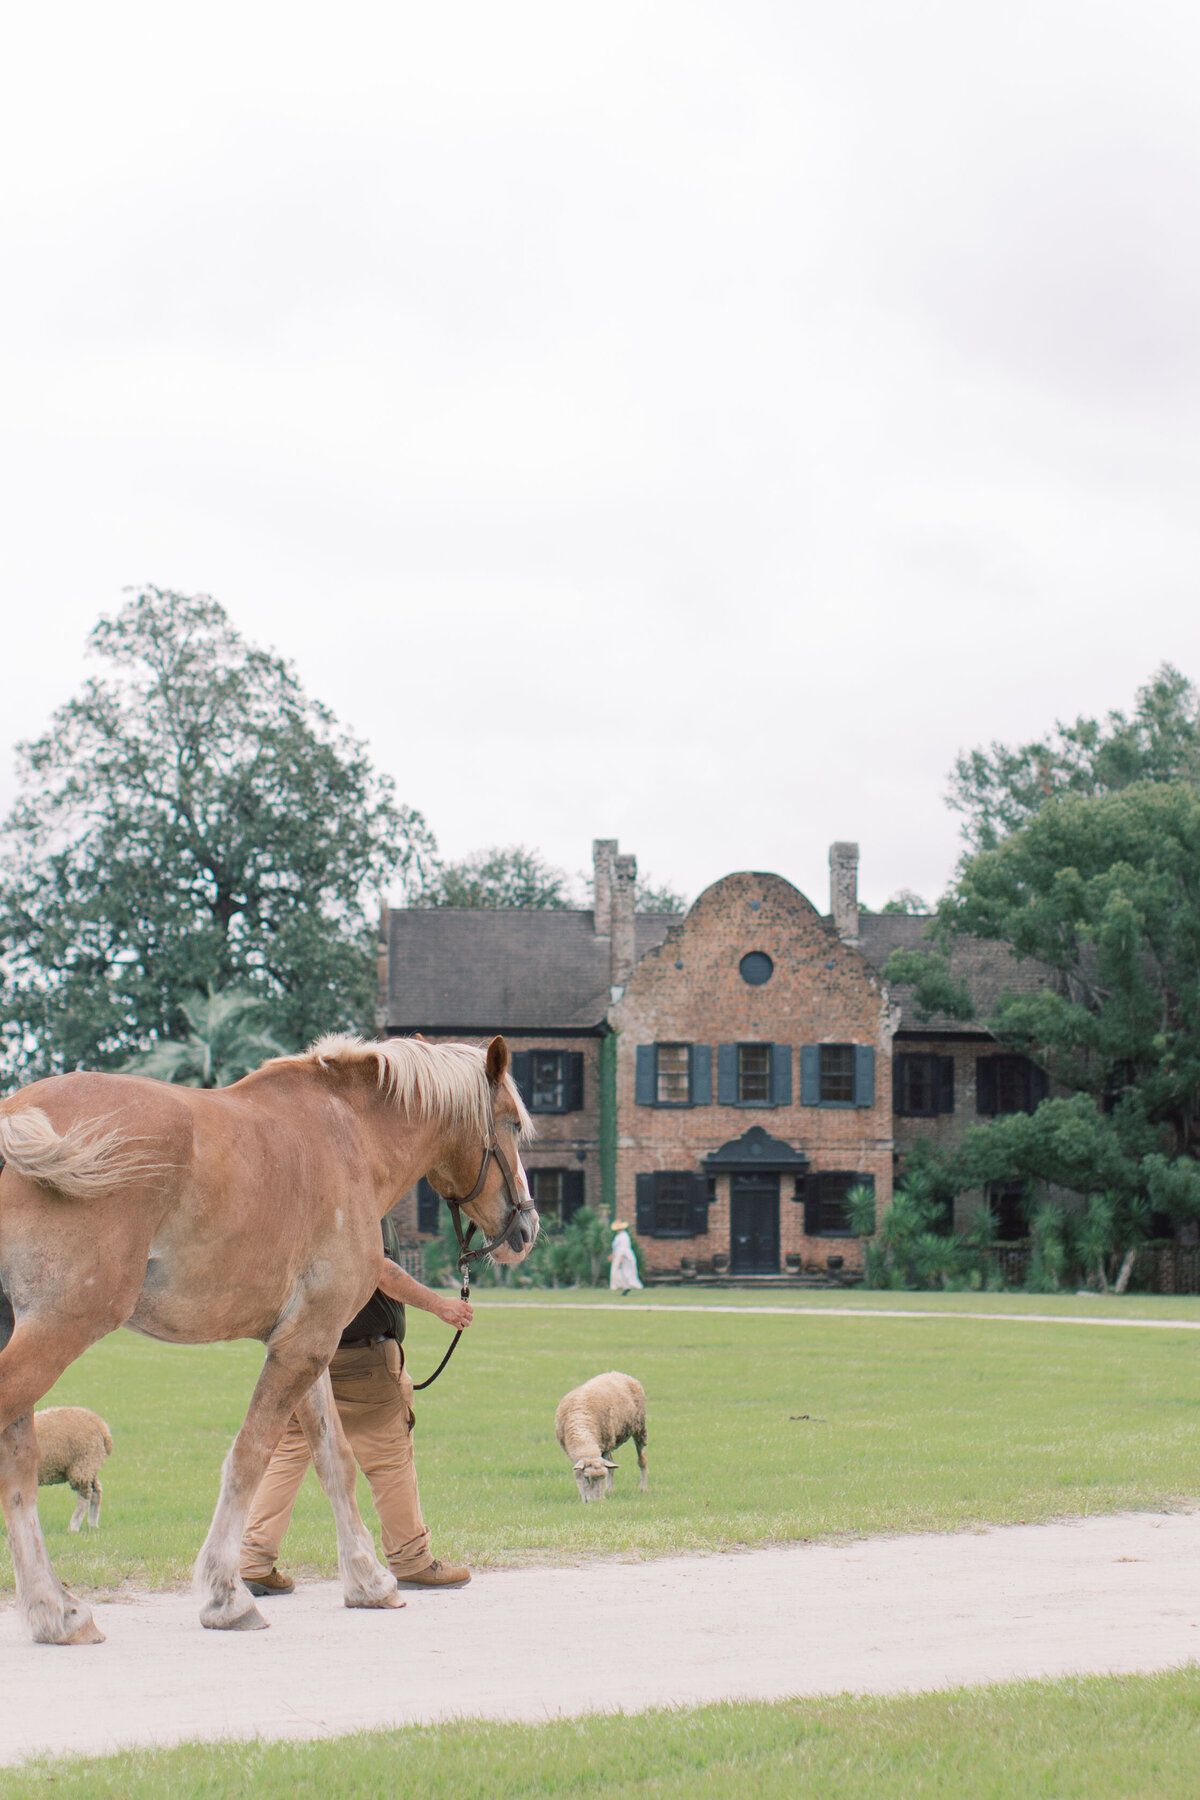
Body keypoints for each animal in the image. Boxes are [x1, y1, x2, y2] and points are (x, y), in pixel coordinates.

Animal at [33, 1404, 113, 1533]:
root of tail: (102, 1426)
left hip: (82, 1462)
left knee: (84, 1496)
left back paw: (73, 1527)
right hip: (90, 1465)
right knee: (96, 1491)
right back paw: (93, 1525)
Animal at [557, 1368, 647, 1497]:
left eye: (602, 1478)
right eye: (586, 1478)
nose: (598, 1500)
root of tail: (619, 1373)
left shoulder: (607, 1445)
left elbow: (609, 1469)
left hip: (639, 1428)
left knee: (641, 1460)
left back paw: (643, 1488)